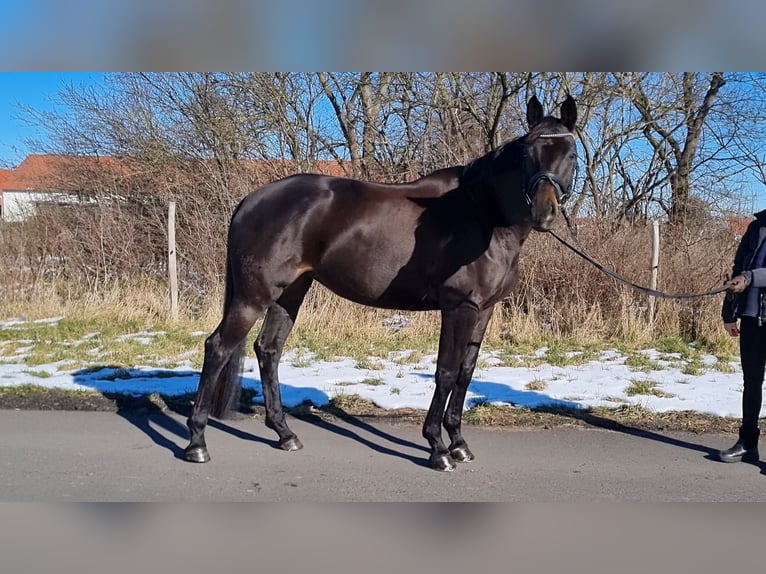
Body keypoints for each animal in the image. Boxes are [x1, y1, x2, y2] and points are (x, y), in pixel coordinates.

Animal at [186, 94, 580, 472]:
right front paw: (438, 449)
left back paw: (285, 434)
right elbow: (446, 372)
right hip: (254, 296)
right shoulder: (459, 307)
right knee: (218, 347)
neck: (482, 215)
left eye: (571, 154)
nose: (543, 212)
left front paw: (459, 443)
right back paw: (197, 443)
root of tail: (250, 201)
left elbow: (466, 374)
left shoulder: (483, 310)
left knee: (268, 350)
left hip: (290, 293)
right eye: (528, 153)